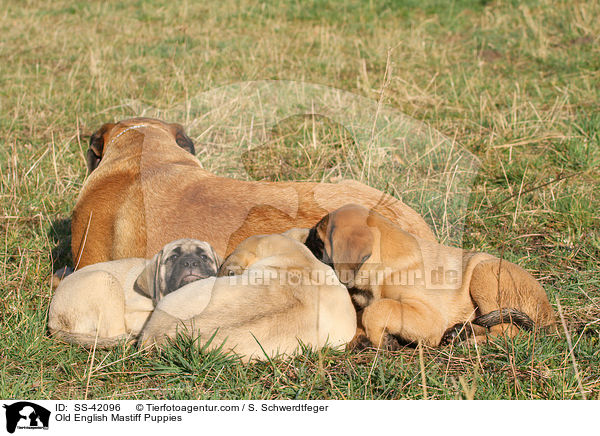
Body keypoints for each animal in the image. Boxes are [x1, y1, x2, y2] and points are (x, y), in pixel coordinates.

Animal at [308, 204, 556, 350]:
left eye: (319, 242)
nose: (305, 243)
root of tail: (548, 315)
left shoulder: (428, 316)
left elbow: (377, 310)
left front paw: (382, 339)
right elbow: (363, 314)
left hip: (484, 273)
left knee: (509, 331)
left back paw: (470, 342)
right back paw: (459, 333)